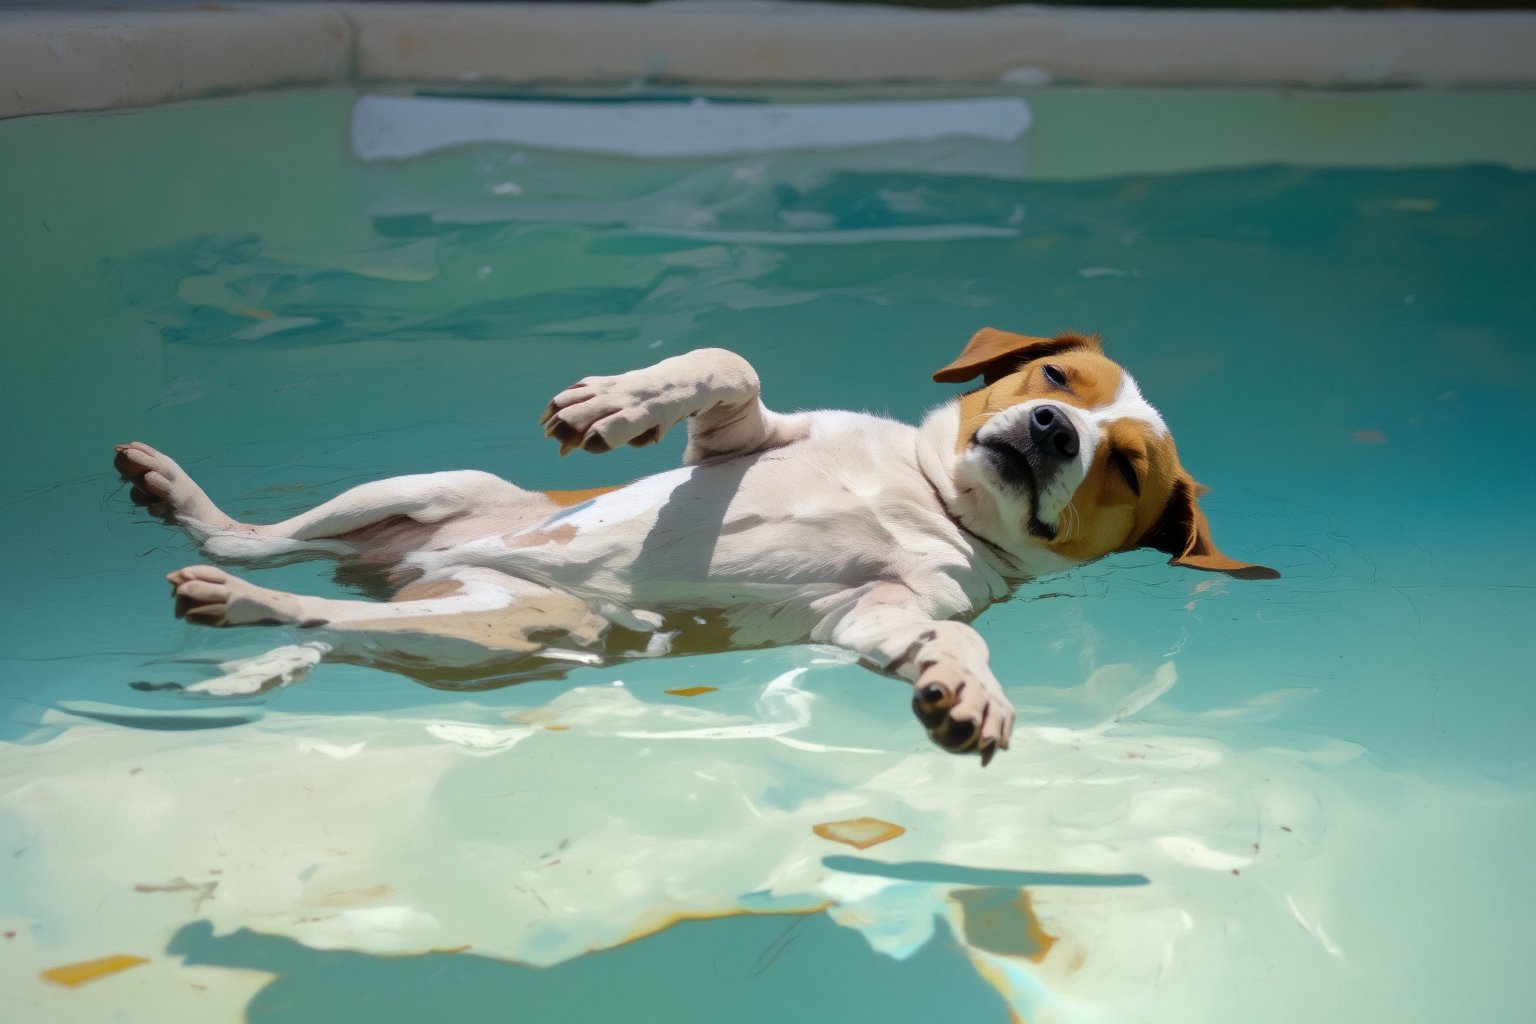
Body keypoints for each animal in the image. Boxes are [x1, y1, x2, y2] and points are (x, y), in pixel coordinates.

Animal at [113, 328, 1277, 761]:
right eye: (1054, 377)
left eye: (1127, 467)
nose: (1051, 431)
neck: (927, 500)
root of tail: (419, 581)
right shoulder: (745, 435)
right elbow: (726, 365)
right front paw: (618, 403)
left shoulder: (884, 613)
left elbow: (956, 642)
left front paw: (969, 690)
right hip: (422, 490)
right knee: (262, 543)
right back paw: (189, 508)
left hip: (507, 629)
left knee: (320, 609)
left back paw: (241, 606)